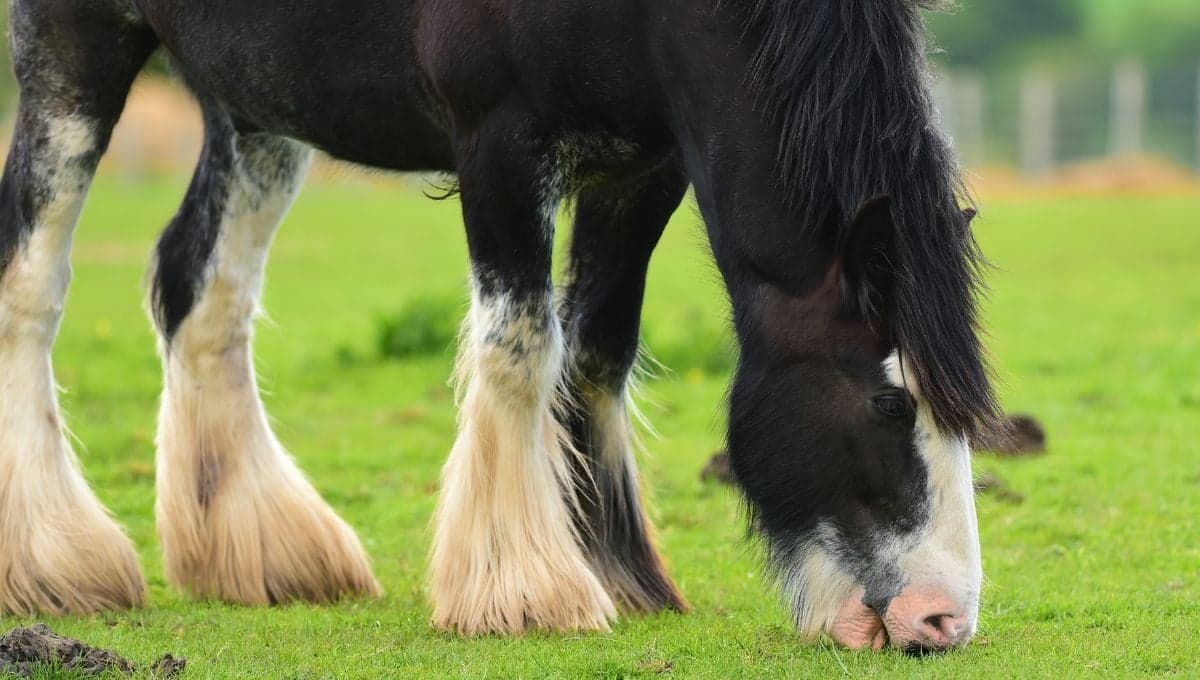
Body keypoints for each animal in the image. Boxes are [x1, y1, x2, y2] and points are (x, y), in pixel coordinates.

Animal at [0, 0, 999, 653]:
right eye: (889, 404)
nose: (943, 618)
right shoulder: (500, 143)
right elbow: (520, 348)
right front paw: (524, 588)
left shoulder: (643, 164)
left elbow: (596, 350)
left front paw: (612, 569)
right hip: (77, 46)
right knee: (32, 279)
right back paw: (52, 559)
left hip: (253, 103)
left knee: (201, 293)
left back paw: (260, 549)